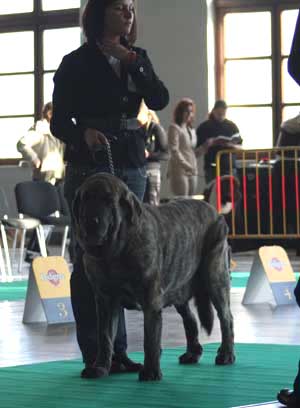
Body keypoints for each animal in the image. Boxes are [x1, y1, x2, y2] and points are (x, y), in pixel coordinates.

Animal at [72, 171, 234, 380]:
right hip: (177, 288)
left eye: (108, 200)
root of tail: (214, 211)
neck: (114, 252)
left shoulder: (151, 300)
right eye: (86, 198)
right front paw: (100, 367)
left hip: (215, 278)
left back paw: (226, 354)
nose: (91, 221)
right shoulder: (105, 301)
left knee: (226, 318)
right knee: (190, 319)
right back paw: (192, 353)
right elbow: (105, 337)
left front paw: (150, 371)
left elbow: (150, 339)